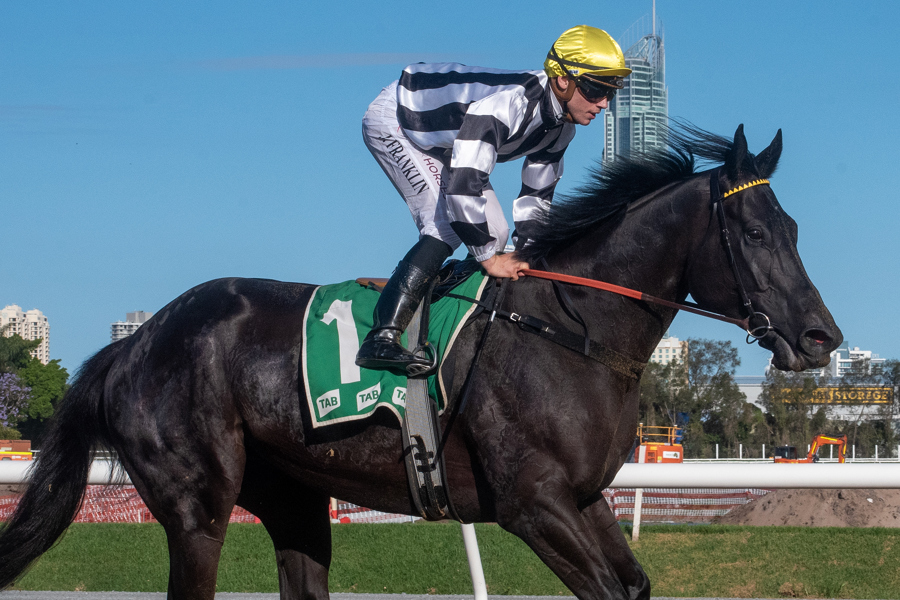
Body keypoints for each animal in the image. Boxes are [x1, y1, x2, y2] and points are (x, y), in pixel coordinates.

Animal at [0, 124, 842, 600]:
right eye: (756, 234)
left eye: (796, 229)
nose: (820, 338)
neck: (570, 330)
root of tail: (134, 343)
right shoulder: (531, 503)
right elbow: (605, 589)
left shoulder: (584, 496)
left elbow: (631, 584)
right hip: (197, 503)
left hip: (294, 498)